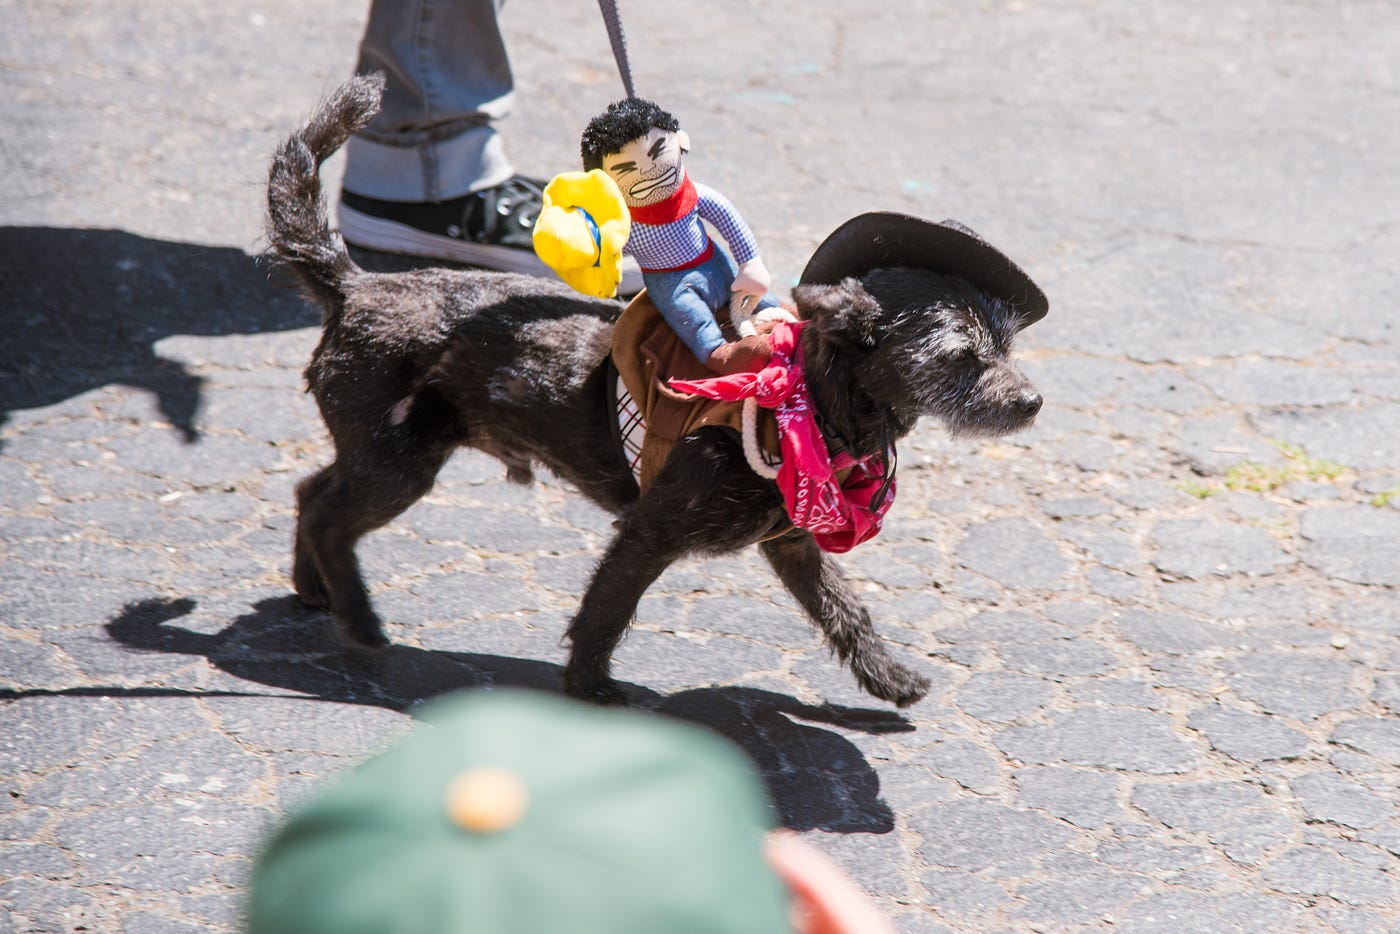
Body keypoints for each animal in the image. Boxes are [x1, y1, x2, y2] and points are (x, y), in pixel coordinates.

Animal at [264, 74, 1045, 708]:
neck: (806, 401)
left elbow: (843, 611)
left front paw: (889, 679)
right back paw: (358, 618)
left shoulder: (792, 543)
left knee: (312, 491)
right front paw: (588, 687)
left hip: (382, 452)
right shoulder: (649, 532)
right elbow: (607, 610)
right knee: (330, 514)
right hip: (398, 461)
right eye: (961, 356)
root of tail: (354, 286)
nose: (1032, 403)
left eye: (1006, 345)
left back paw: (315, 590)